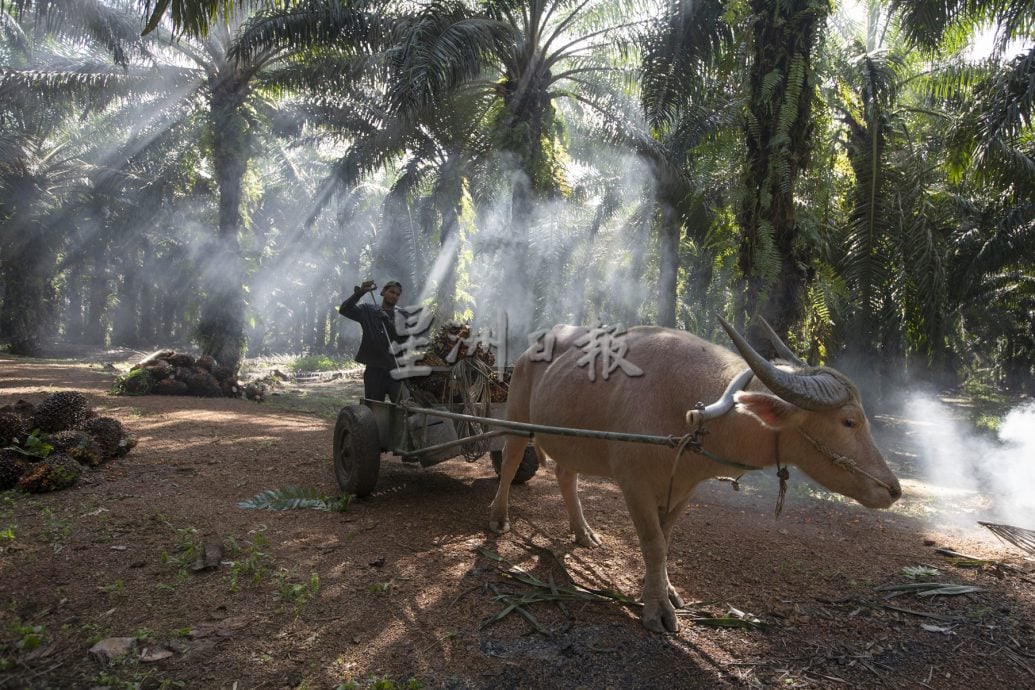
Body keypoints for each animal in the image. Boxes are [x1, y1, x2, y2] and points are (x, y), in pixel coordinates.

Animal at [488, 318, 902, 633]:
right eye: (849, 421)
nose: (893, 489)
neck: (693, 412)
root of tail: (529, 351)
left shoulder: (685, 489)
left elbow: (666, 539)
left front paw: (663, 589)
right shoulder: (633, 482)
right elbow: (653, 543)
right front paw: (657, 610)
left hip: (569, 439)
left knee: (565, 474)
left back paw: (582, 531)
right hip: (517, 417)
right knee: (510, 462)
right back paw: (499, 517)